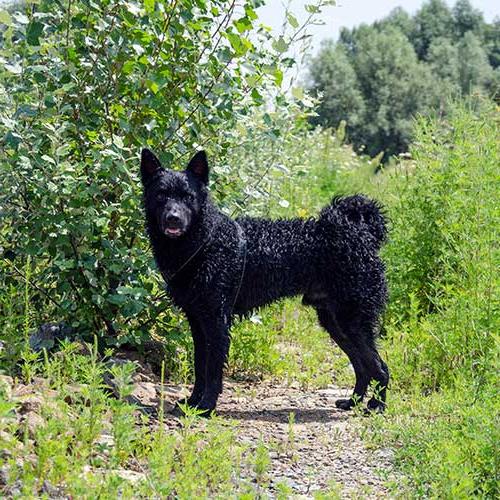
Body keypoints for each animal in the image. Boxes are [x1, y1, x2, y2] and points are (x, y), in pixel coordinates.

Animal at [141, 148, 390, 414]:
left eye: (188, 197)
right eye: (161, 195)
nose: (173, 218)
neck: (206, 241)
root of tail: (361, 236)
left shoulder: (217, 321)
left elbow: (212, 371)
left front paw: (207, 407)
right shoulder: (197, 321)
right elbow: (200, 366)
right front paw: (193, 403)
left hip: (352, 319)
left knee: (380, 367)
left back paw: (376, 406)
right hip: (335, 321)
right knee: (362, 366)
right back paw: (352, 402)